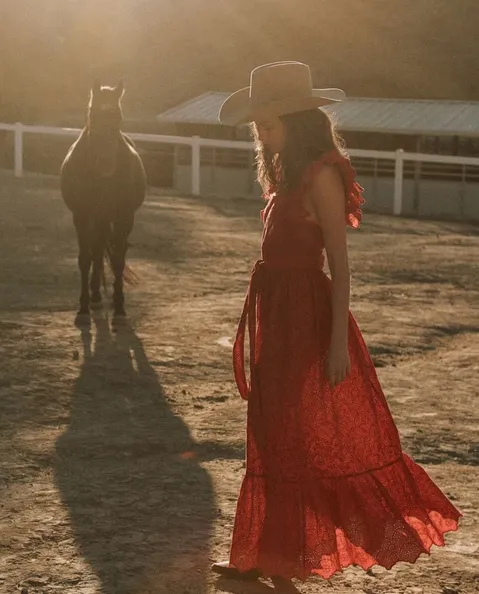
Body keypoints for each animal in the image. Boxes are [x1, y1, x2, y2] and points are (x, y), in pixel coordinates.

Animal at [60, 82, 146, 320]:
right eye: (92, 114)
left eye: (119, 116)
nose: (107, 165)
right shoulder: (81, 216)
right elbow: (85, 258)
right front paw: (83, 306)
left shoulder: (124, 216)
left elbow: (117, 259)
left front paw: (119, 305)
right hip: (98, 218)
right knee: (97, 252)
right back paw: (95, 296)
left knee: (106, 252)